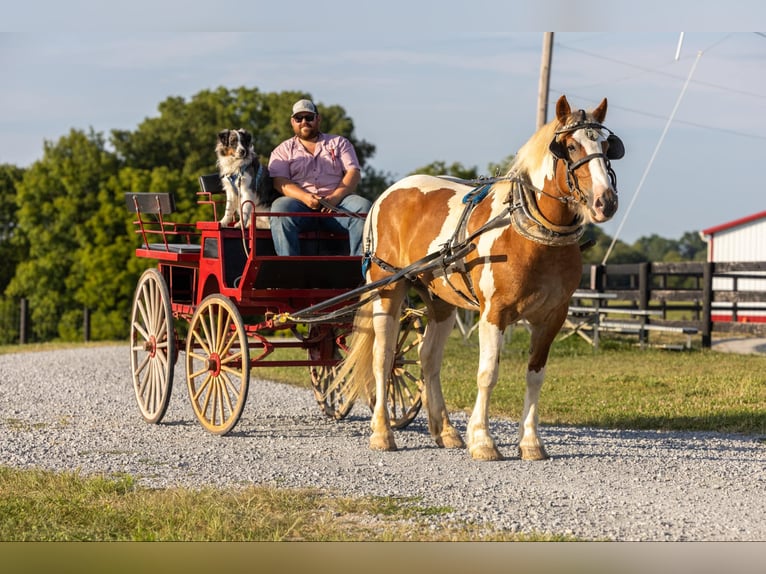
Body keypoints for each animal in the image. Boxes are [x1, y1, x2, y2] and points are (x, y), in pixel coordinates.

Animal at [340, 95, 628, 464]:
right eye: (569, 146)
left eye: (607, 146)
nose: (605, 201)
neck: (531, 234)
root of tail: (387, 194)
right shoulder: (494, 312)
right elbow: (488, 373)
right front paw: (483, 440)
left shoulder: (552, 316)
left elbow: (535, 375)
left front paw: (531, 442)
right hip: (388, 289)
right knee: (384, 357)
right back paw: (382, 433)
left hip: (441, 301)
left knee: (428, 359)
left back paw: (445, 431)